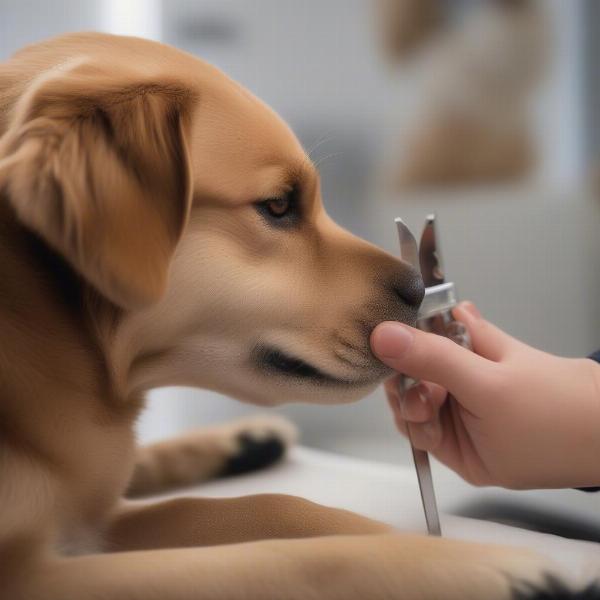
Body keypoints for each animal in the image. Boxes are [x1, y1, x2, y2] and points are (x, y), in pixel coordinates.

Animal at [0, 34, 596, 600]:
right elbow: (296, 559)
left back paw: (243, 440)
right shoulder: (35, 574)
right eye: (279, 205)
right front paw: (488, 565)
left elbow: (266, 505)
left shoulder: (105, 522)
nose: (421, 289)